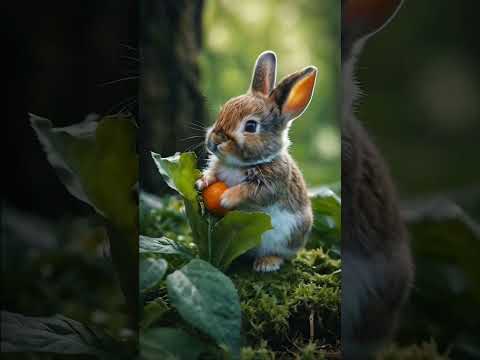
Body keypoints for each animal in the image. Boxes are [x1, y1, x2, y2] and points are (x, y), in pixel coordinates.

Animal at [197, 50, 316, 272]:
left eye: (251, 126)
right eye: (222, 112)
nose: (214, 141)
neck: (238, 164)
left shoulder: (274, 182)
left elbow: (252, 191)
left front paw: (226, 198)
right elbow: (212, 173)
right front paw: (201, 183)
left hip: (288, 237)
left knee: (281, 254)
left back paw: (267, 263)